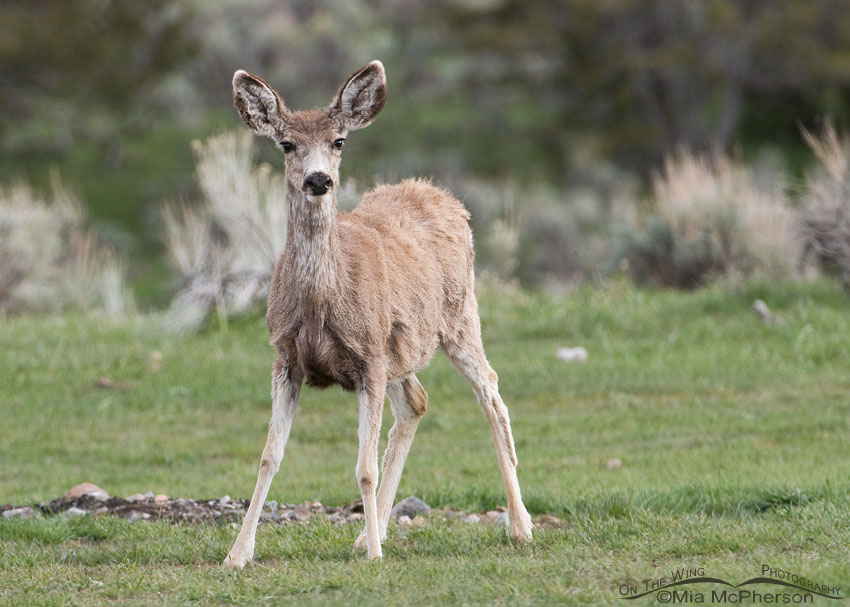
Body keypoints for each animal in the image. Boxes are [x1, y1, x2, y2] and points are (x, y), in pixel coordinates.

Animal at [222, 59, 532, 568]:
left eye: (339, 141)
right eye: (286, 144)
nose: (318, 180)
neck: (321, 303)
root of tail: (438, 192)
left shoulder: (368, 357)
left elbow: (363, 467)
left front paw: (374, 556)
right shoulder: (286, 357)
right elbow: (269, 456)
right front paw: (237, 554)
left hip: (459, 315)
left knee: (490, 390)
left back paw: (521, 526)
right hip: (400, 349)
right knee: (418, 401)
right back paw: (372, 532)